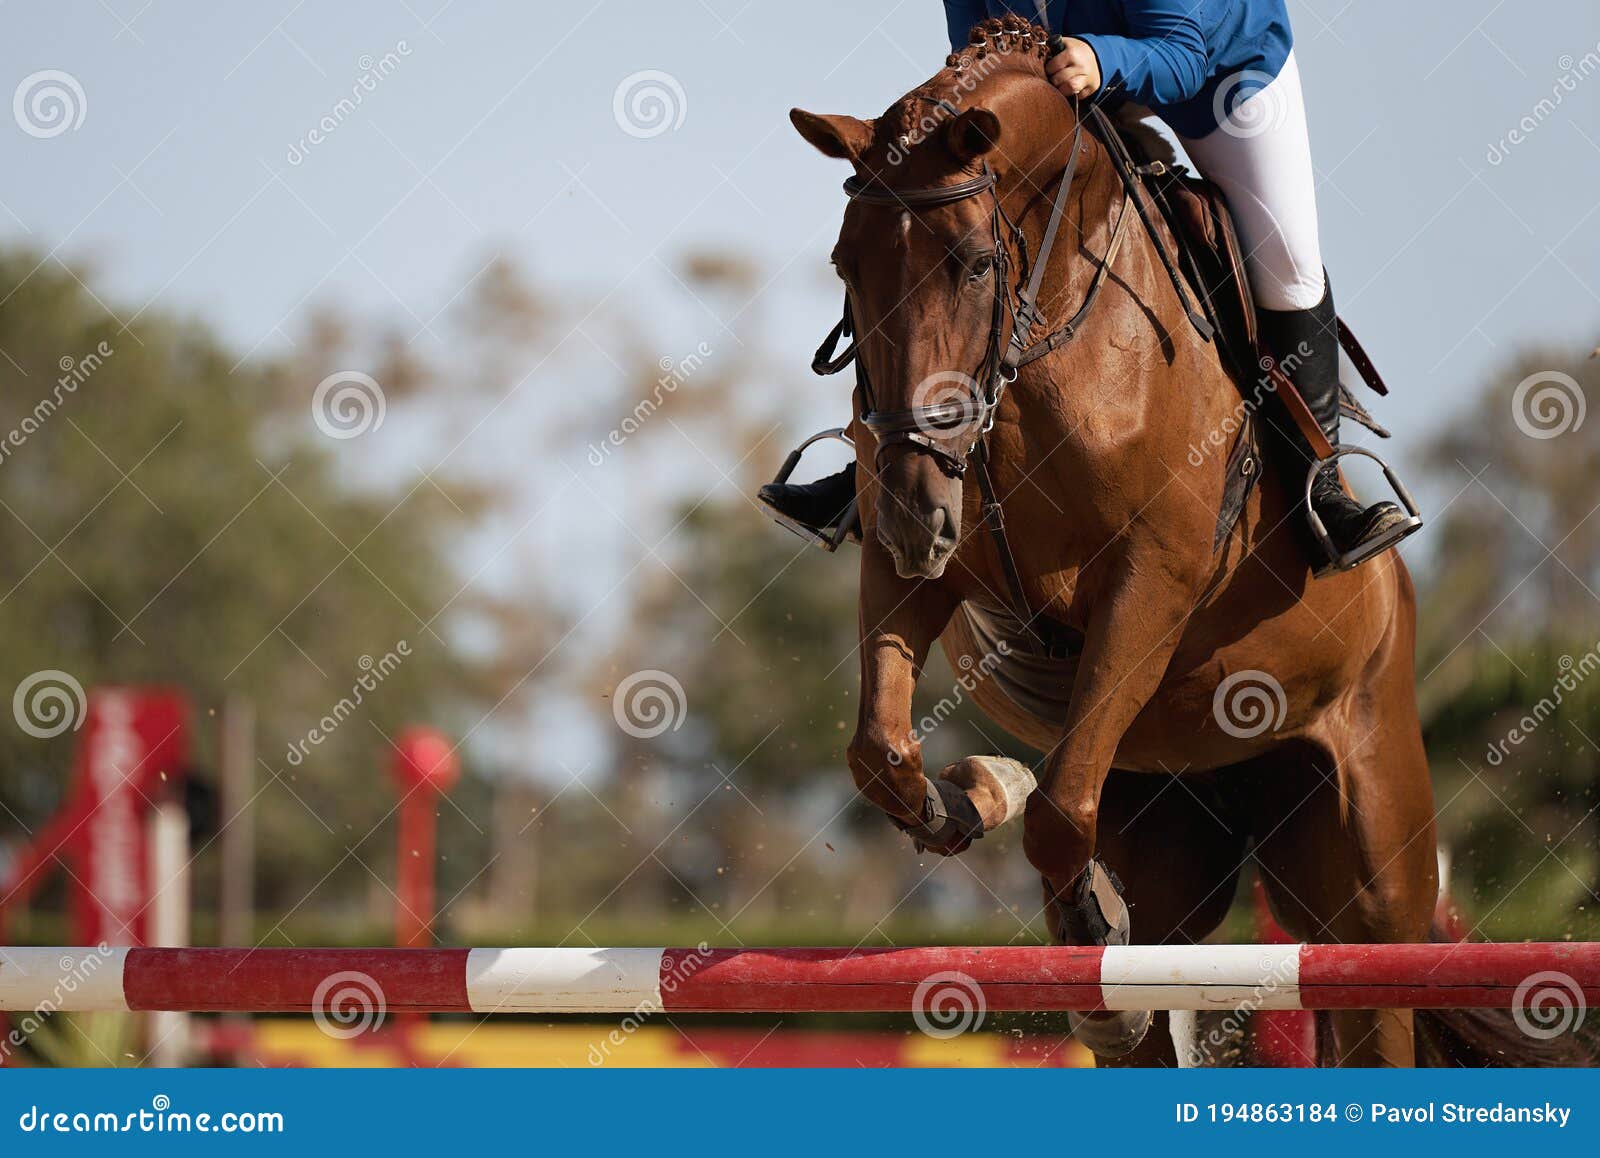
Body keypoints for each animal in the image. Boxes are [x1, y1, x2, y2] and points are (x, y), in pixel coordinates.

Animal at [793, 20, 1446, 1068]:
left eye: (973, 264)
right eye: (847, 266)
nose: (905, 513)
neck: (1040, 343)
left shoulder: (1151, 583)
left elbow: (1060, 811)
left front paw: (1086, 923)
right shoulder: (916, 569)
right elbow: (880, 753)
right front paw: (977, 794)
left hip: (1375, 859)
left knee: (1376, 988)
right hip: (1186, 817)